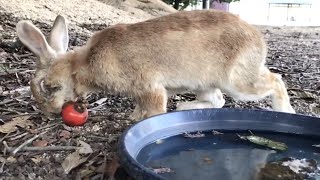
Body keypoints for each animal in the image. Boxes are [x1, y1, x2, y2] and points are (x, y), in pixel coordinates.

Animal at [15, 9, 296, 120]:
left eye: (48, 86)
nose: (50, 111)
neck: (81, 66)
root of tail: (258, 38)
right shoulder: (139, 93)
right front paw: (133, 117)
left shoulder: (149, 88)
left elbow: (154, 108)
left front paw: (143, 121)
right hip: (205, 84)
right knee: (217, 101)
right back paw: (184, 107)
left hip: (237, 82)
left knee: (275, 81)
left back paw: (286, 110)